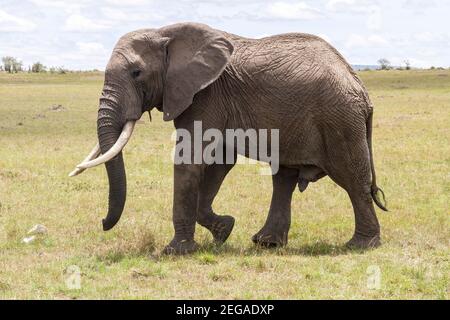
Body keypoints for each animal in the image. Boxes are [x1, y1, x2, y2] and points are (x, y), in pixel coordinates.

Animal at [69, 21, 386, 255]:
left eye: (137, 73)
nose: (102, 223)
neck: (166, 32)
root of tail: (361, 88)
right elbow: (220, 161)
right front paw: (224, 231)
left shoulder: (206, 95)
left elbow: (190, 161)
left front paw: (175, 251)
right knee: (283, 178)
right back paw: (267, 243)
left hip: (340, 120)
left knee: (352, 179)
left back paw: (360, 245)